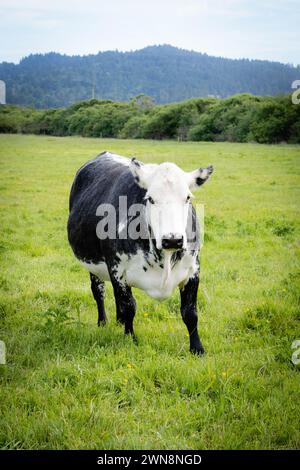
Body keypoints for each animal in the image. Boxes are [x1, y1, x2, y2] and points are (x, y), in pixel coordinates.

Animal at [68, 152, 213, 354]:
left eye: (187, 197)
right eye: (150, 198)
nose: (173, 239)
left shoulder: (193, 270)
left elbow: (190, 312)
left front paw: (197, 348)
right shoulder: (117, 270)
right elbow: (129, 306)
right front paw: (131, 339)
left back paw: (119, 321)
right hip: (94, 266)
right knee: (99, 291)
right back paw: (103, 322)